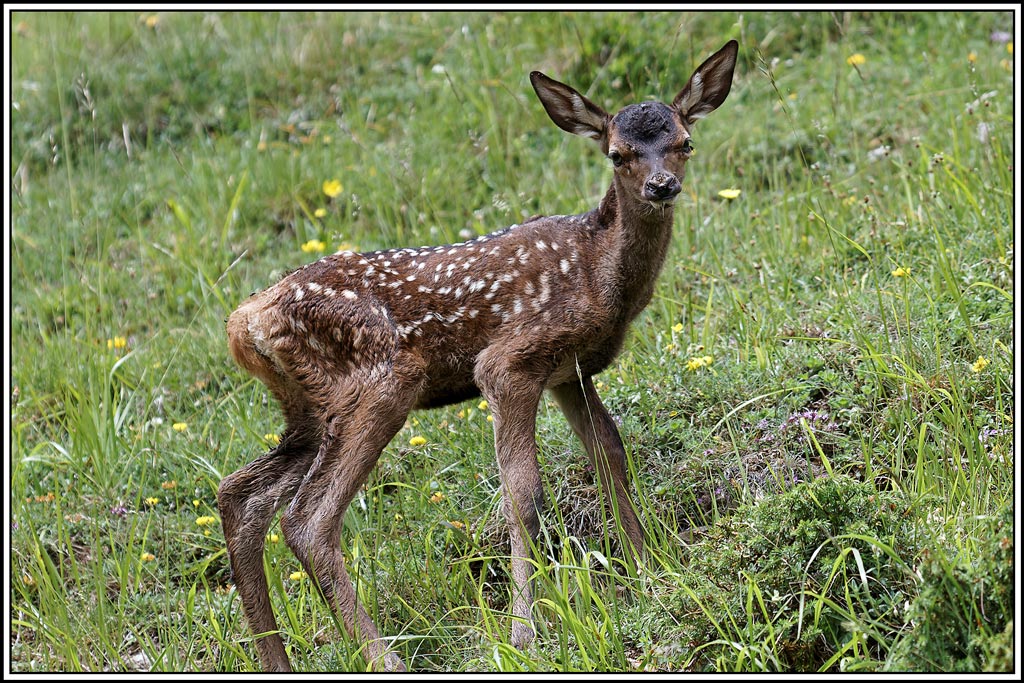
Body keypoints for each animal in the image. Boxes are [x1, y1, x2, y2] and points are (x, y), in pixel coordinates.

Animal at [217, 39, 738, 672]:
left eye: (685, 141)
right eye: (618, 154)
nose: (662, 186)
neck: (600, 272)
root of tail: (245, 319)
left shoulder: (569, 371)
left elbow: (610, 455)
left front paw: (650, 568)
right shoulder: (509, 361)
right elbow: (523, 494)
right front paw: (524, 633)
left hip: (310, 408)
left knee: (240, 495)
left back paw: (277, 659)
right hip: (382, 378)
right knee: (307, 520)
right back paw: (384, 657)